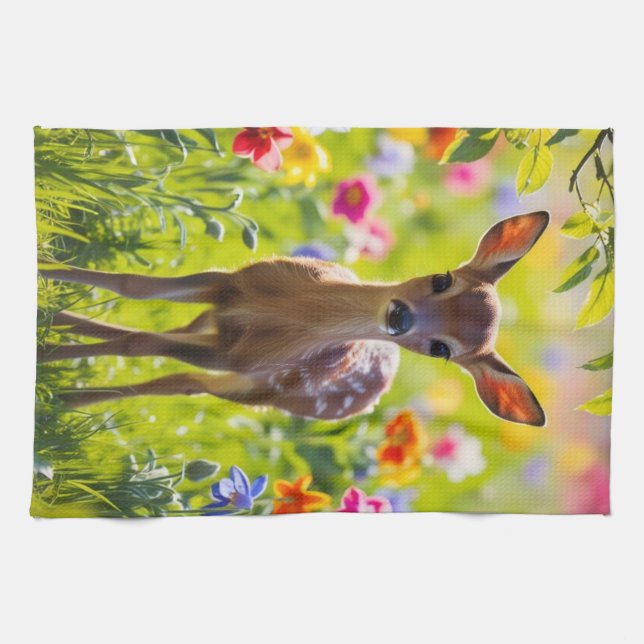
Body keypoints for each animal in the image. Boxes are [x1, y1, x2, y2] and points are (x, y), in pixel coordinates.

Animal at [38, 211, 549, 426]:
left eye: (442, 350)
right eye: (443, 279)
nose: (400, 317)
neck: (289, 314)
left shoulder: (244, 359)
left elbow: (137, 343)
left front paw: (45, 356)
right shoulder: (230, 286)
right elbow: (131, 285)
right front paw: (46, 275)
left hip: (249, 388)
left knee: (178, 382)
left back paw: (64, 398)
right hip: (215, 327)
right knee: (172, 348)